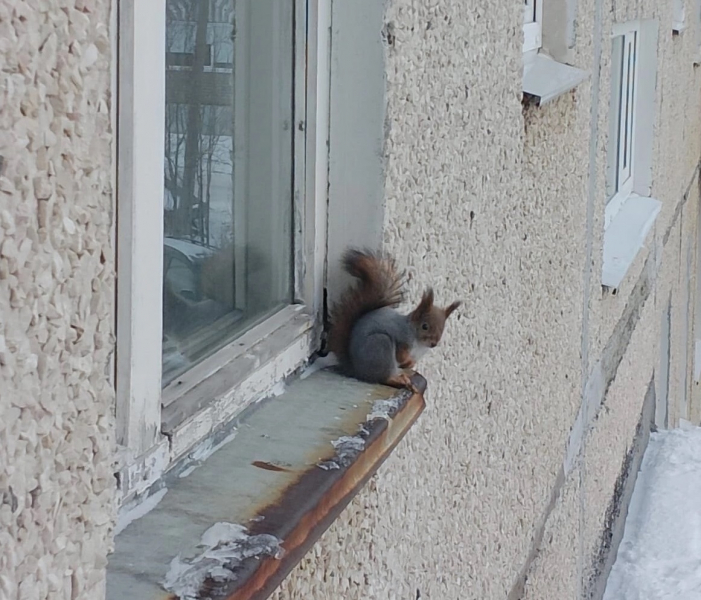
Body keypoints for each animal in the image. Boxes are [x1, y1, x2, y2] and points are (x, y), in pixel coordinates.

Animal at [327, 248, 461, 392]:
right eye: (424, 326)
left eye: (443, 328)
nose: (433, 344)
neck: (418, 342)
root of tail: (357, 371)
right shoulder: (402, 337)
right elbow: (400, 354)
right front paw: (405, 359)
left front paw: (410, 363)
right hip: (380, 346)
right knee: (383, 377)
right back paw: (398, 380)